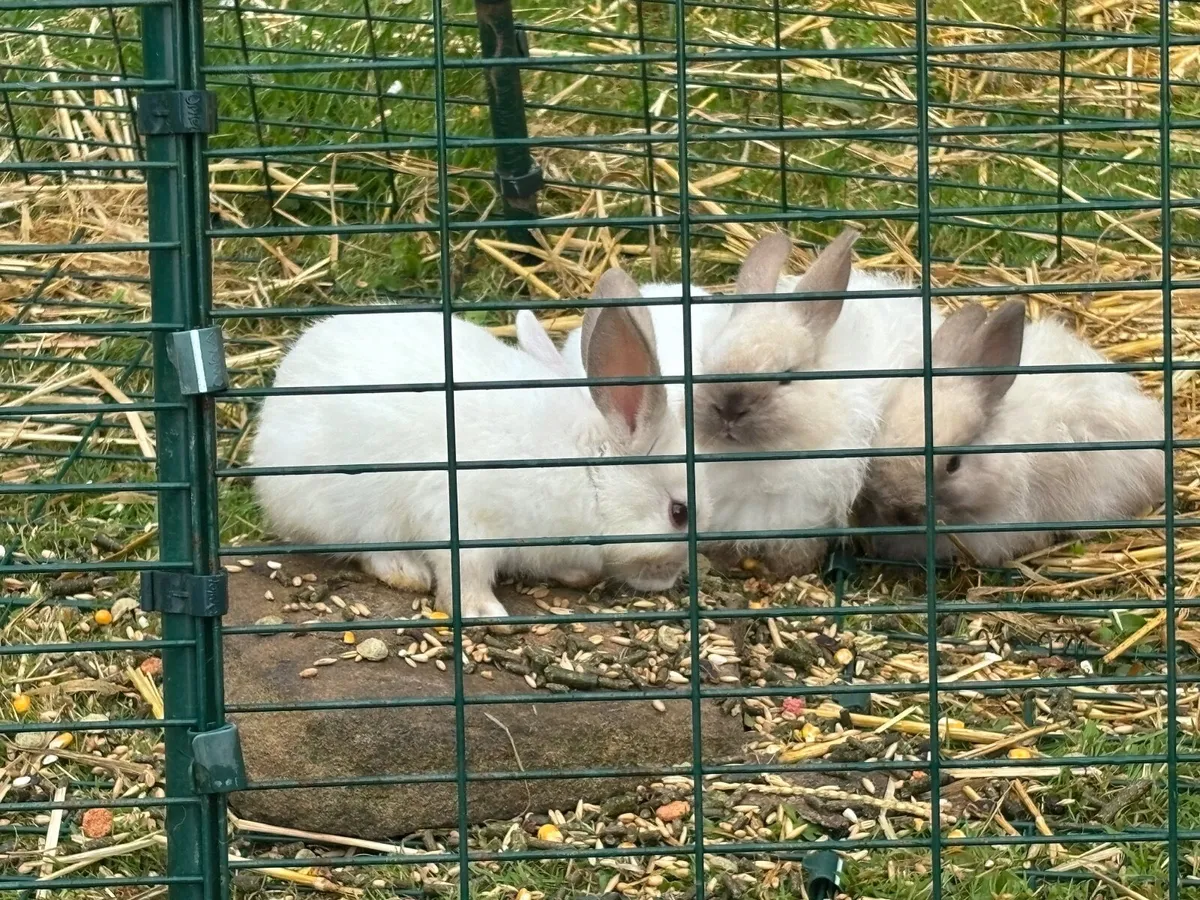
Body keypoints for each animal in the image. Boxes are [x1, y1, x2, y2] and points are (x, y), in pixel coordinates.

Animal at [251, 268, 696, 620]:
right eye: (679, 513)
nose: (668, 580)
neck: (585, 469)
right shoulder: (463, 520)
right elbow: (464, 573)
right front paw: (484, 612)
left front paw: (576, 575)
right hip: (340, 510)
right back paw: (405, 571)